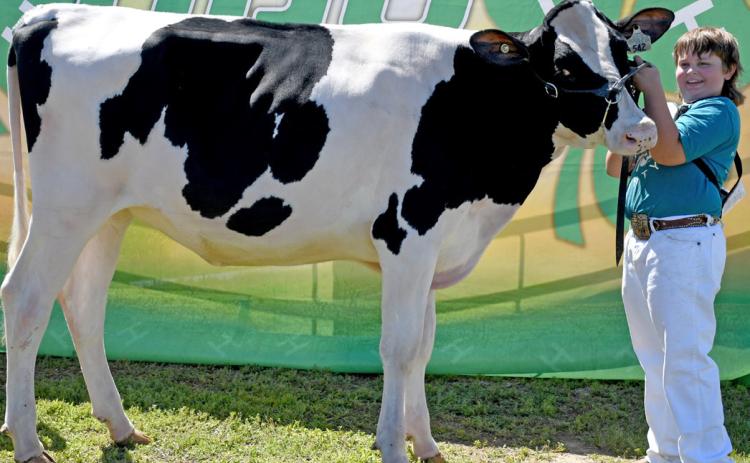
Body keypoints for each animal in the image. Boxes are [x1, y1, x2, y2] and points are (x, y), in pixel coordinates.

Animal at [1, 1, 674, 461]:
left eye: (627, 54)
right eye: (563, 63)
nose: (640, 131)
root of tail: (50, 15)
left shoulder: (435, 247)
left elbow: (424, 347)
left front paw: (427, 445)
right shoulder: (409, 232)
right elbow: (399, 347)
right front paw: (394, 446)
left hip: (109, 214)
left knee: (83, 304)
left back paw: (119, 426)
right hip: (64, 206)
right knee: (26, 299)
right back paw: (30, 441)